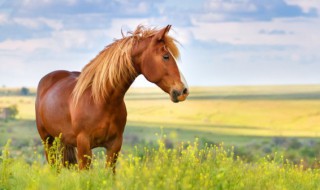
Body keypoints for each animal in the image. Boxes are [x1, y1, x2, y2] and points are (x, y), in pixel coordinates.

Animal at [34, 24, 189, 171]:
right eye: (166, 56)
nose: (183, 90)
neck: (101, 101)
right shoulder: (84, 146)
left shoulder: (114, 146)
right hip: (48, 141)